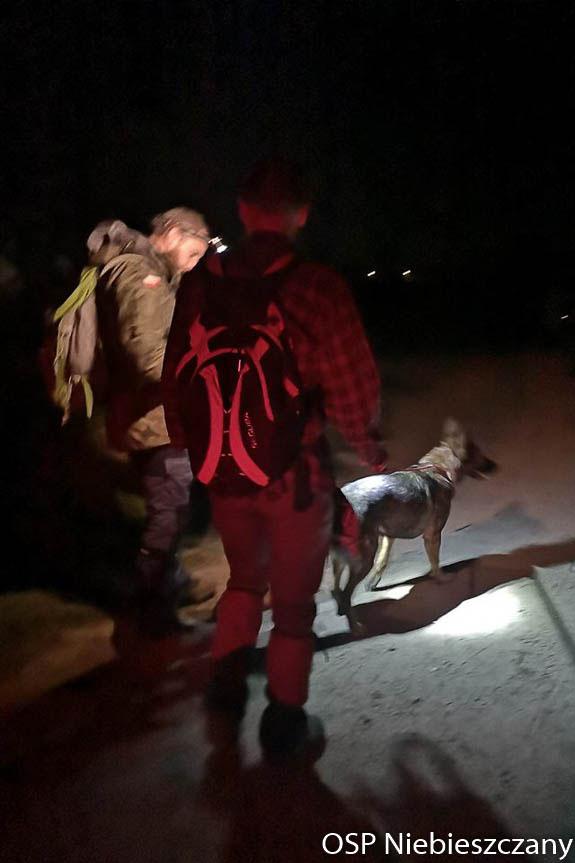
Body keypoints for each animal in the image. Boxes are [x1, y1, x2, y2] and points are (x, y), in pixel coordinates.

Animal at [331, 418, 497, 634]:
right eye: (479, 454)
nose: (495, 466)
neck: (436, 468)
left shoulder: (388, 536)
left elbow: (382, 561)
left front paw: (373, 582)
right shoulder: (433, 535)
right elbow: (435, 562)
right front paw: (441, 578)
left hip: (342, 558)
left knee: (336, 588)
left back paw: (342, 609)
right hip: (362, 558)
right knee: (344, 593)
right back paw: (355, 626)